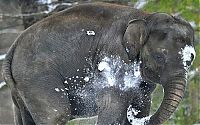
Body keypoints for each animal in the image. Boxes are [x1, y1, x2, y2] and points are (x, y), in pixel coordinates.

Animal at [1, 2, 195, 125]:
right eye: (160, 57)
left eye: (191, 59)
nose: (131, 113)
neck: (144, 17)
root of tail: (12, 49)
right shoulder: (115, 58)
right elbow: (112, 110)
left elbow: (142, 106)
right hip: (37, 78)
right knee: (57, 114)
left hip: (22, 89)